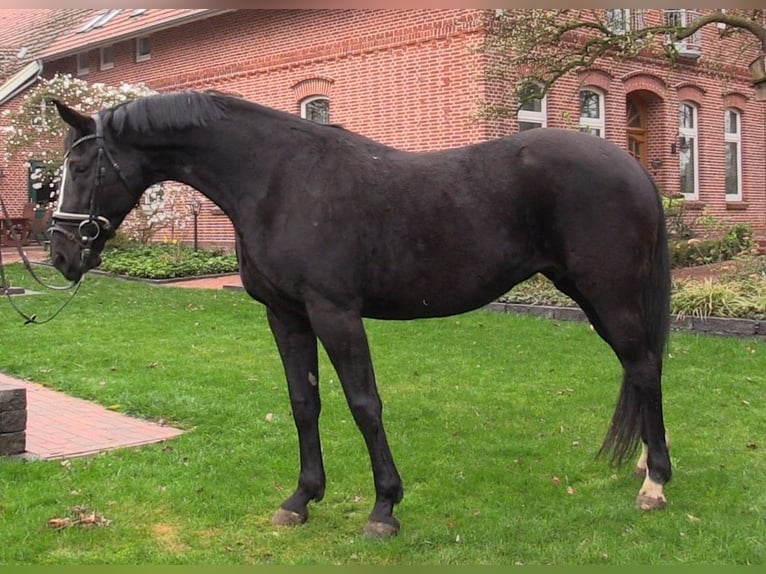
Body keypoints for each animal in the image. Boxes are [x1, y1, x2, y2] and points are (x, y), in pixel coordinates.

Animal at [49, 91, 672, 540]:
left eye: (80, 166)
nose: (60, 254)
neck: (278, 180)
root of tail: (632, 166)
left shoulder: (336, 313)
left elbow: (364, 404)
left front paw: (384, 508)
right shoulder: (286, 316)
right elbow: (304, 403)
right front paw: (301, 499)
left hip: (609, 294)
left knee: (644, 367)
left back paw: (656, 484)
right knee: (640, 368)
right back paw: (645, 466)